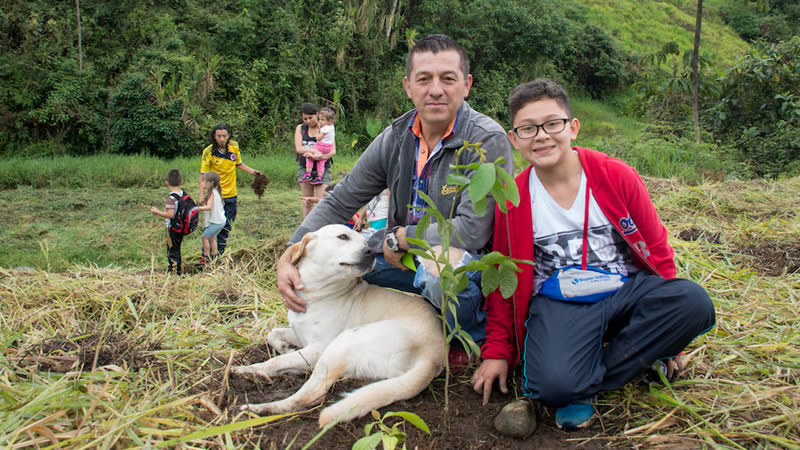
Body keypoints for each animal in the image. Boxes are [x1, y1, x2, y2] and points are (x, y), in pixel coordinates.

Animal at [233, 223, 450, 428]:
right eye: (343, 237)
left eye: (365, 242)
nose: (371, 251)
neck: (318, 292)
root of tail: (434, 356)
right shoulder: (301, 335)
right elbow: (273, 334)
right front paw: (284, 347)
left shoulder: (317, 349)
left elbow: (275, 362)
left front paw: (254, 368)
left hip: (343, 342)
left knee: (310, 395)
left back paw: (259, 407)